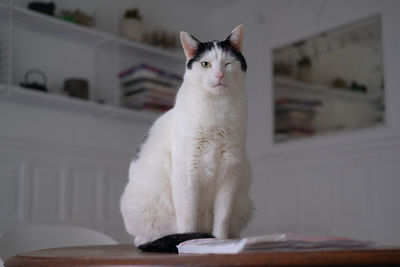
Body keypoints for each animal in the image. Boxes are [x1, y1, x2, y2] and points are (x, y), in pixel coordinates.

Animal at [120, 25, 255, 253]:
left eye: (228, 63)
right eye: (205, 64)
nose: (219, 75)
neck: (216, 108)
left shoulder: (230, 172)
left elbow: (222, 217)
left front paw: (220, 242)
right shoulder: (187, 172)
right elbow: (188, 218)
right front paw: (189, 243)